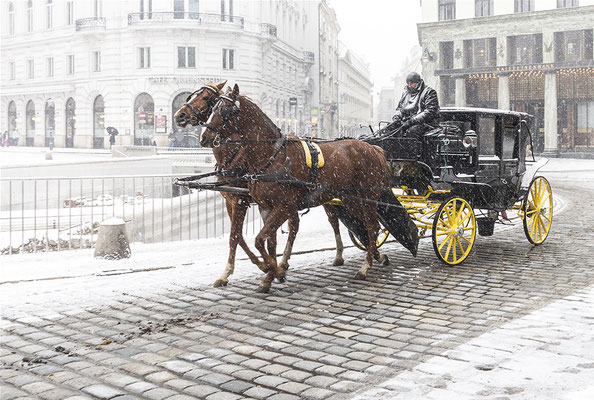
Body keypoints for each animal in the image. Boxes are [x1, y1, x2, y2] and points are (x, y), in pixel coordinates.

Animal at [172, 82, 342, 288]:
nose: (179, 115)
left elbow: (236, 235)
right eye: (192, 96)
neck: (236, 155)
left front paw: (254, 268)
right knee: (295, 224)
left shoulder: (242, 199)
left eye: (206, 98)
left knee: (331, 221)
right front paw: (265, 267)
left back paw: (335, 254)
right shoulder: (232, 200)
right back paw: (284, 262)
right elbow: (240, 235)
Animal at [201, 84, 390, 292]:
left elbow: (258, 239)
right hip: (351, 199)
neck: (272, 155)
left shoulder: (280, 205)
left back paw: (365, 266)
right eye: (212, 107)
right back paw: (376, 256)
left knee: (371, 227)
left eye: (225, 110)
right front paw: (270, 274)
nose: (204, 137)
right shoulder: (264, 206)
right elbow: (268, 242)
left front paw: (273, 270)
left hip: (367, 197)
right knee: (363, 225)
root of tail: (372, 148)